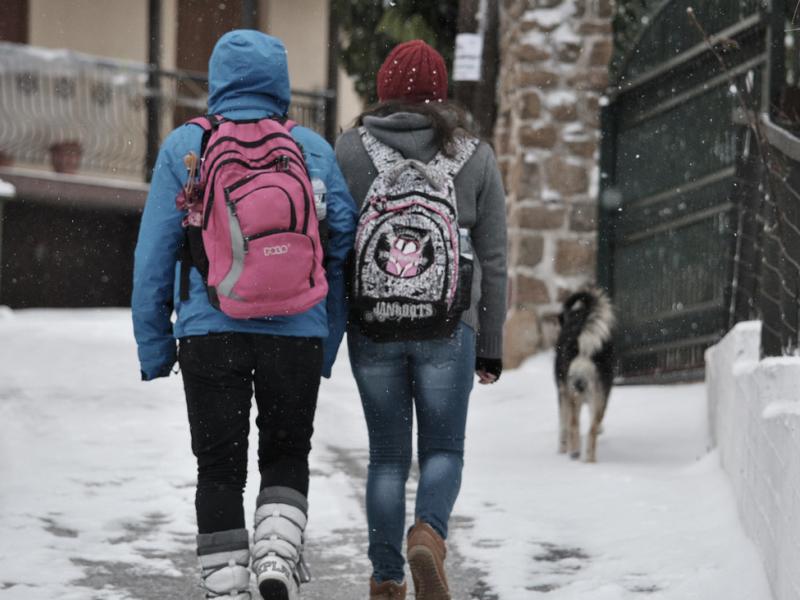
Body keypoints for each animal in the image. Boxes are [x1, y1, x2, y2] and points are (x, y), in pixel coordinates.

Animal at [556, 288, 612, 462]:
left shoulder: (563, 392)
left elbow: (564, 424)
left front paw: (563, 448)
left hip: (572, 390)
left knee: (573, 424)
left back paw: (574, 452)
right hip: (599, 392)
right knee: (591, 429)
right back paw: (589, 460)